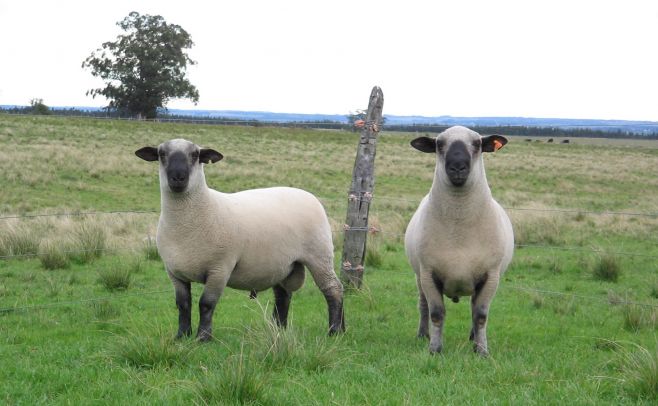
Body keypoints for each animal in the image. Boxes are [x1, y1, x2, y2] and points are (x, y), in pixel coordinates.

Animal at [136, 138, 346, 340]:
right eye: (162, 154)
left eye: (195, 155)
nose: (178, 178)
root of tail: (309, 195)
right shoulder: (174, 272)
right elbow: (183, 304)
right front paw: (182, 335)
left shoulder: (220, 268)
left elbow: (206, 304)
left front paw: (203, 337)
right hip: (283, 264)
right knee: (282, 296)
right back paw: (281, 329)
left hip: (319, 255)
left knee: (333, 289)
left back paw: (334, 331)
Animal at [400, 126, 512, 356]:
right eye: (439, 144)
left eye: (477, 144)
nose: (458, 167)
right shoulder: (428, 273)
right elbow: (436, 313)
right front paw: (434, 349)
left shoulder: (490, 276)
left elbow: (480, 315)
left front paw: (482, 351)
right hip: (418, 276)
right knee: (423, 306)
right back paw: (422, 335)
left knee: (473, 308)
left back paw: (473, 339)